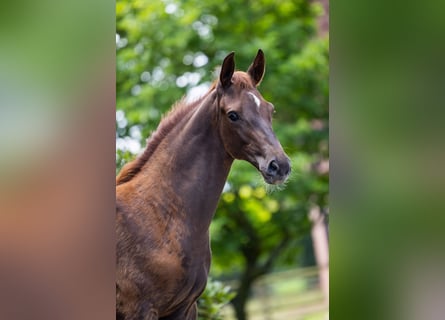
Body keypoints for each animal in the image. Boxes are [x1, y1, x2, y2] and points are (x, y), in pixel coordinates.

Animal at [116, 48, 290, 318]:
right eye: (233, 115)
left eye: (270, 110)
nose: (279, 166)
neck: (161, 213)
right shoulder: (141, 310)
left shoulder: (186, 307)